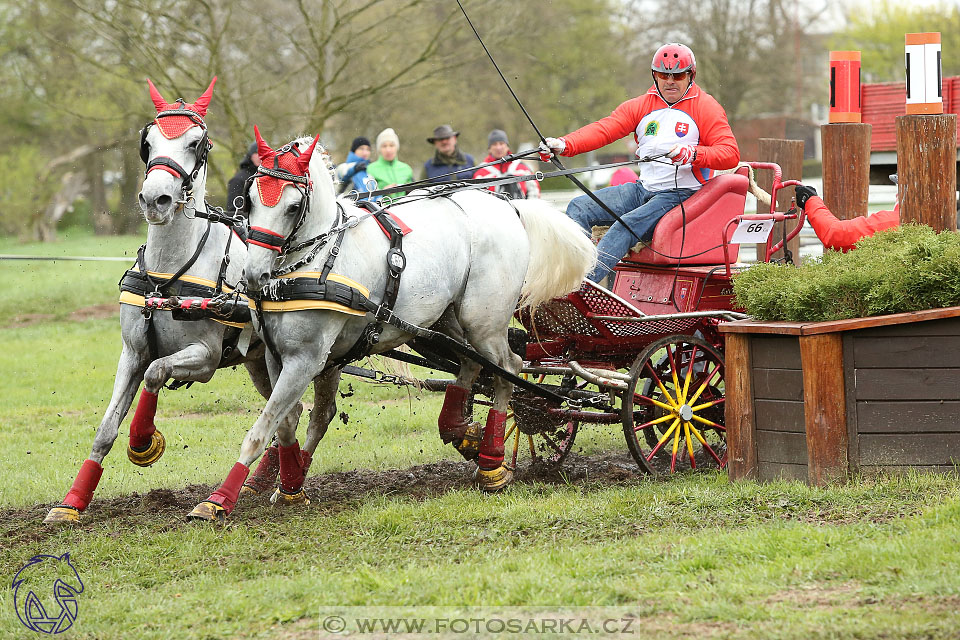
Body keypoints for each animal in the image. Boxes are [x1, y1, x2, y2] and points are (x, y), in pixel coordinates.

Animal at [45, 80, 336, 524]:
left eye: (195, 142)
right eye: (147, 142)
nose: (156, 199)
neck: (168, 276)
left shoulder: (205, 357)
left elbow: (157, 372)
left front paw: (143, 443)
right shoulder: (131, 352)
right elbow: (106, 428)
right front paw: (73, 501)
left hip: (320, 359)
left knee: (316, 415)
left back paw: (292, 478)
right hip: (258, 361)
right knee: (290, 413)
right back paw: (265, 479)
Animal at [184, 126, 596, 520]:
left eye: (294, 205)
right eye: (250, 199)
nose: (254, 275)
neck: (316, 258)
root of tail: (508, 205)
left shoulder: (307, 360)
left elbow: (262, 429)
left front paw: (218, 500)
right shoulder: (276, 355)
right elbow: (285, 424)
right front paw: (291, 484)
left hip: (484, 321)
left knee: (507, 368)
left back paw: (492, 464)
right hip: (445, 320)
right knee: (470, 362)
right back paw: (458, 430)